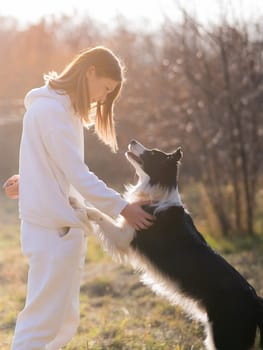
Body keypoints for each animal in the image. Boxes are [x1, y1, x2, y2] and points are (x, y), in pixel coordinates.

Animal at [70, 139, 263, 350]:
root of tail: (255, 300)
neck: (157, 193)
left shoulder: (124, 236)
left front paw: (77, 203)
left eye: (153, 153)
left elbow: (99, 214)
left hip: (224, 336)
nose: (132, 141)